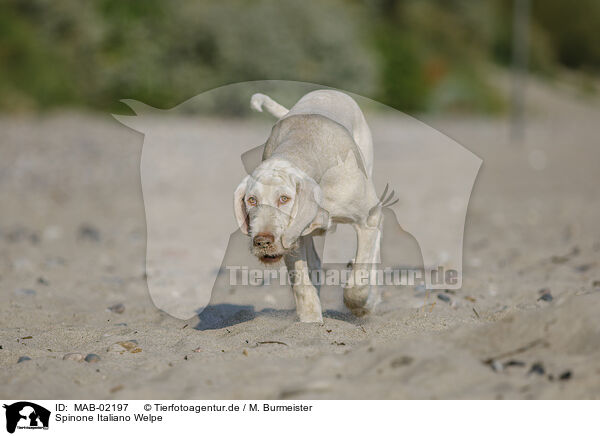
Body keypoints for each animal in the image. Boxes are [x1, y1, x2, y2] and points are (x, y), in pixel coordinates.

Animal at [232, 90, 386, 322]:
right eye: (252, 200)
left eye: (284, 198)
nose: (262, 242)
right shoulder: (292, 237)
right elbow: (301, 282)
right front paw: (310, 321)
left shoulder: (368, 219)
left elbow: (358, 280)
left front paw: (361, 307)